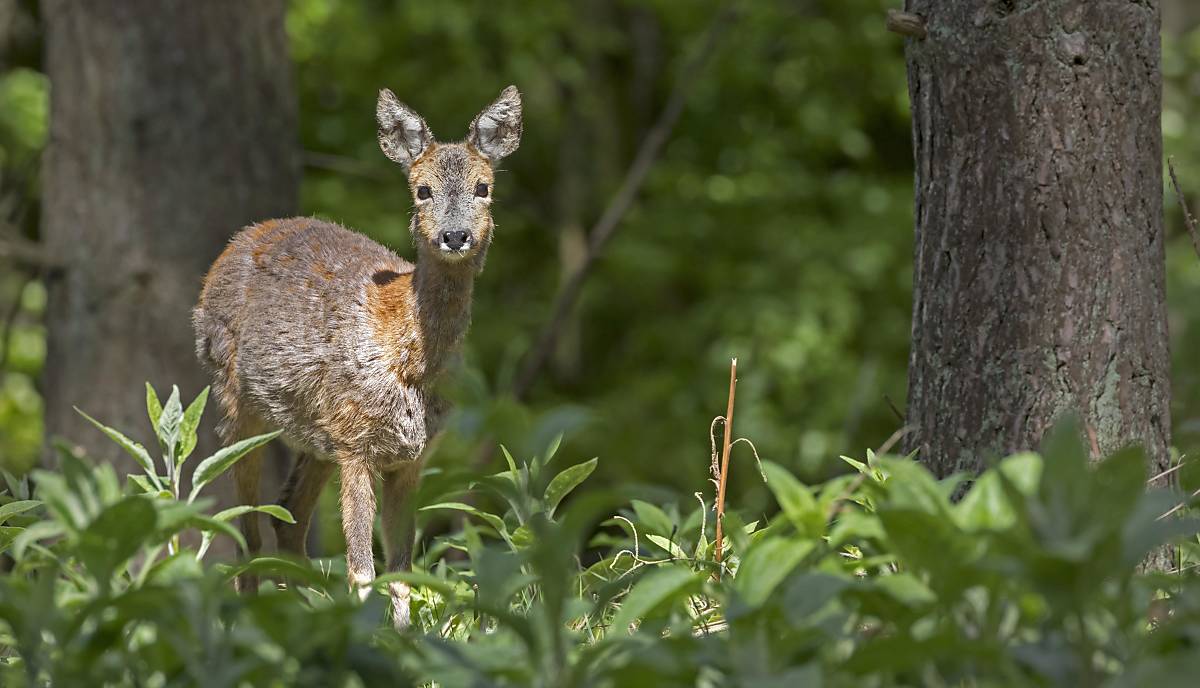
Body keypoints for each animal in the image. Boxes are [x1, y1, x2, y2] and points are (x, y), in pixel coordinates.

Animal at [192, 84, 520, 629]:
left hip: (317, 432)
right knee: (245, 527)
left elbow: (402, 567)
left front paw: (406, 638)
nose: (455, 236)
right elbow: (363, 569)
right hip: (237, 402)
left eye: (483, 187)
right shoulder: (356, 447)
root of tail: (237, 242)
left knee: (289, 518)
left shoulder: (410, 456)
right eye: (421, 190)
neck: (406, 359)